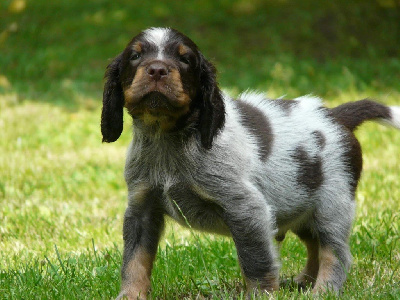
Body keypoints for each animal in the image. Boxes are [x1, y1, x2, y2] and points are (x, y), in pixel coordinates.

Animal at [101, 27, 400, 298]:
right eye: (135, 56)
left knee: (335, 254)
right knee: (315, 245)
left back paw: (322, 291)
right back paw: (303, 283)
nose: (157, 70)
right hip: (301, 205)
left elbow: (256, 261)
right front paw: (130, 295)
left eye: (185, 59)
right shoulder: (142, 208)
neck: (168, 136)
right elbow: (134, 261)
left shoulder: (245, 208)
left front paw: (261, 293)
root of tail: (338, 116)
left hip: (332, 205)